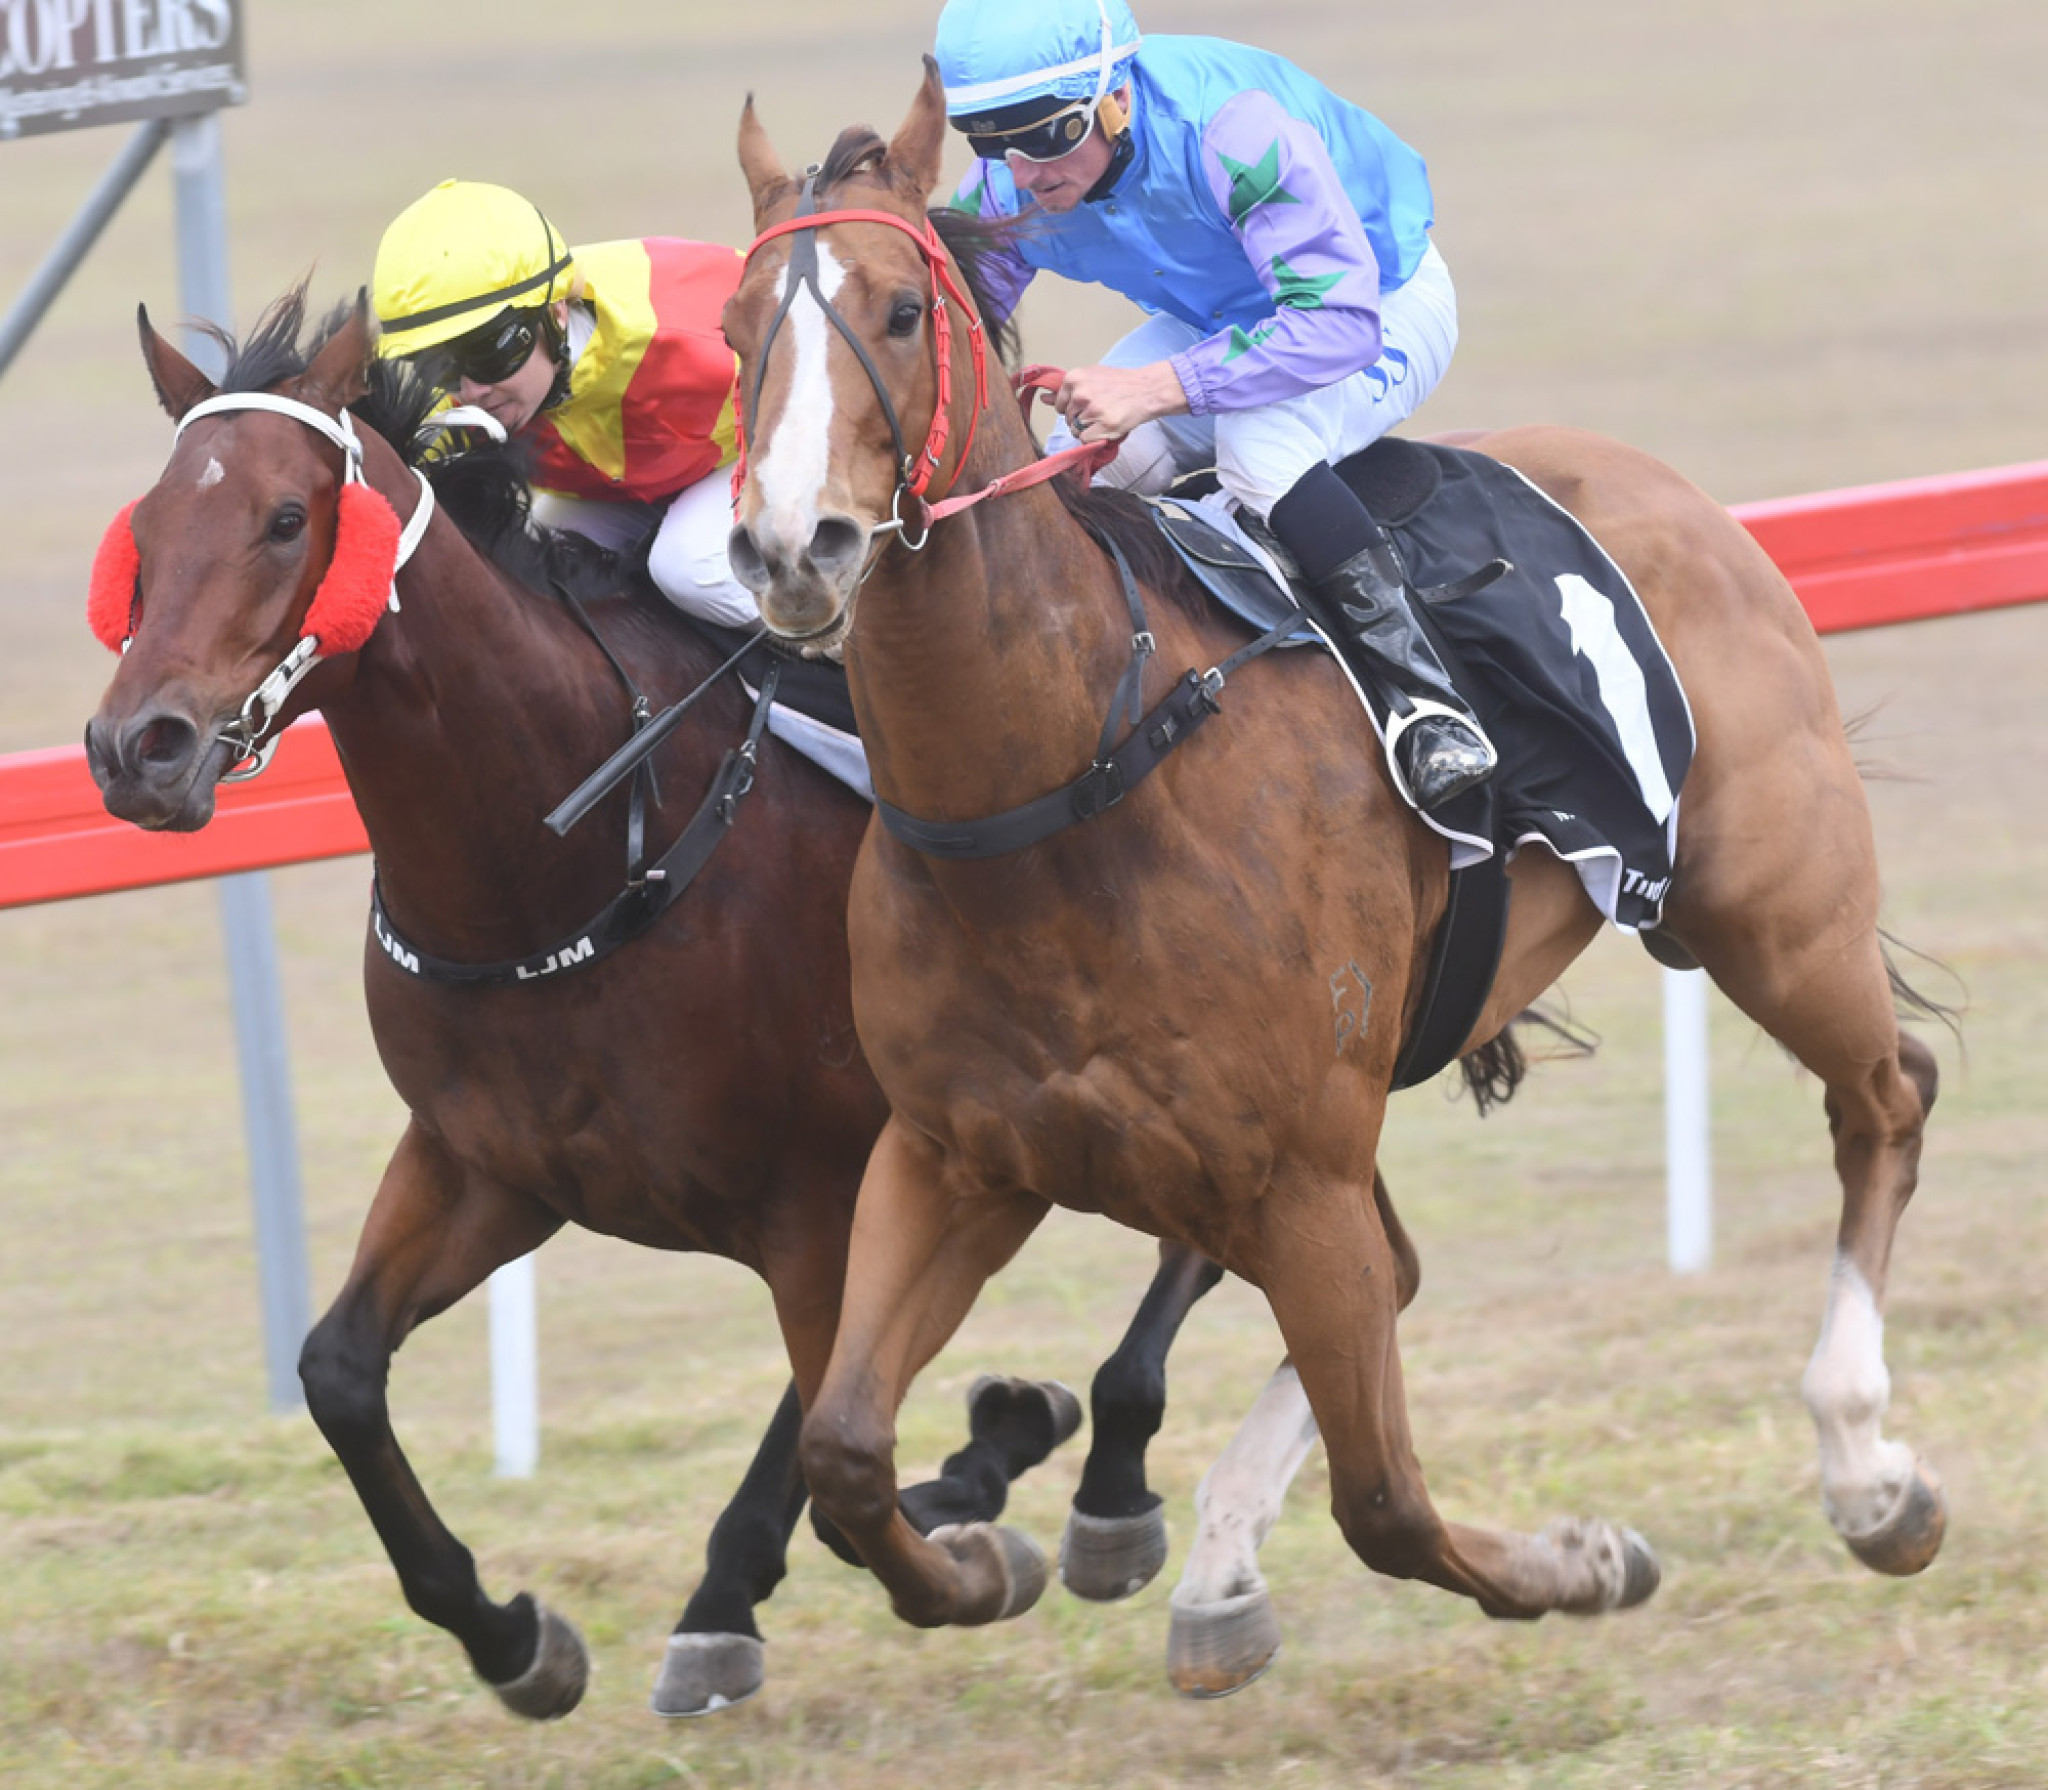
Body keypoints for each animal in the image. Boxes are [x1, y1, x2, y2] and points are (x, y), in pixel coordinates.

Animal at [83, 296, 1196, 1712]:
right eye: (146, 526)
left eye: (287, 518)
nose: (137, 748)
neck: (560, 854)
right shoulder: (490, 1165)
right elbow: (336, 1372)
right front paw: (514, 1637)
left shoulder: (818, 1199)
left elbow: (840, 1458)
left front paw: (918, 1527)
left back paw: (1102, 1477)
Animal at [724, 73, 1949, 1687]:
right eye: (733, 328)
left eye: (900, 311)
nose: (788, 546)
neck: (1065, 782)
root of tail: (1664, 488)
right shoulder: (958, 1155)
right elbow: (846, 1449)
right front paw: (983, 1561)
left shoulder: (1294, 1165)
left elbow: (1387, 1500)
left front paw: (1580, 1561)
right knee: (1414, 1264)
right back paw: (1216, 1574)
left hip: (1771, 910)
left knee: (1885, 1096)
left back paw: (1867, 1469)